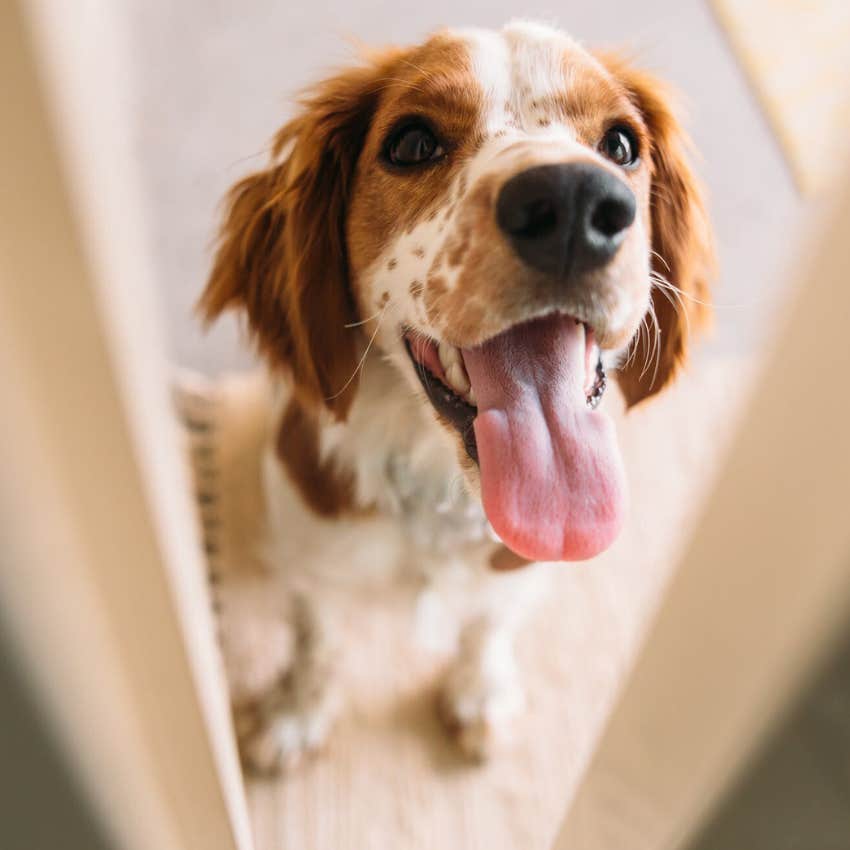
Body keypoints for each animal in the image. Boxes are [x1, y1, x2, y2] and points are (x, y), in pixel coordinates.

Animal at [199, 21, 708, 776]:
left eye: (620, 145)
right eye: (412, 142)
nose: (575, 204)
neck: (438, 485)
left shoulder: (518, 568)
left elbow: (488, 624)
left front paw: (480, 695)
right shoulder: (311, 545)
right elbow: (316, 637)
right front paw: (295, 712)